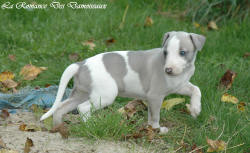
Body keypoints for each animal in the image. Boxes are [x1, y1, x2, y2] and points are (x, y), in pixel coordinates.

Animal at [40, 30, 205, 133]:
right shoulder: (155, 96)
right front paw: (157, 130)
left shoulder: (179, 86)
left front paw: (195, 109)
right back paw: (91, 125)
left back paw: (58, 128)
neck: (182, 72)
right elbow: (155, 116)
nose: (168, 70)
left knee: (61, 108)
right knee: (83, 108)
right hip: (105, 95)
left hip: (81, 93)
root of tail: (81, 64)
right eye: (165, 52)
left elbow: (196, 89)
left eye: (182, 52)